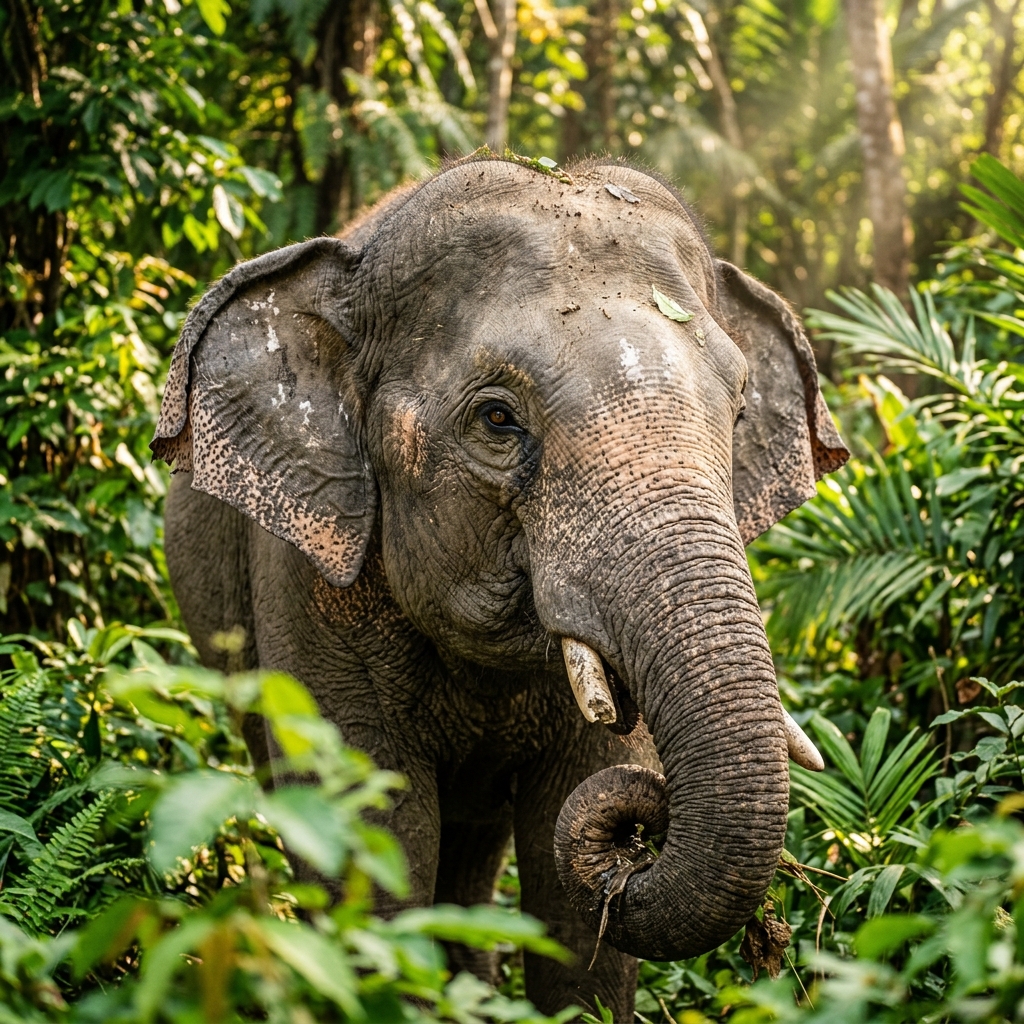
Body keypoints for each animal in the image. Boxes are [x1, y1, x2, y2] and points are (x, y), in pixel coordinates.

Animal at [152, 154, 848, 1020]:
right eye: (496, 419)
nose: (642, 828)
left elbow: (567, 877)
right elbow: (370, 835)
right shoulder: (307, 578)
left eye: (741, 407)